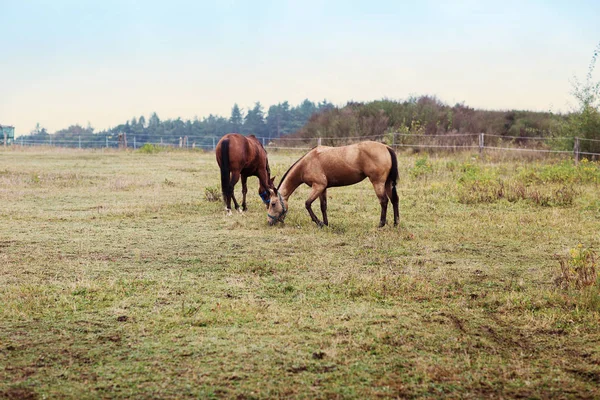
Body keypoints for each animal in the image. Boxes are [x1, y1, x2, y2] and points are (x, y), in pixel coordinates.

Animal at [268, 141, 398, 228]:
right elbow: (323, 206)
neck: (307, 163)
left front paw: (319, 223)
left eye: (273, 204)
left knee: (384, 201)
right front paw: (326, 223)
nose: (269, 222)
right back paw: (396, 223)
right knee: (394, 200)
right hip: (388, 183)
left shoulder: (318, 186)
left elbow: (307, 204)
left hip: (378, 182)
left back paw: (381, 224)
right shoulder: (323, 189)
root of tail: (386, 147)